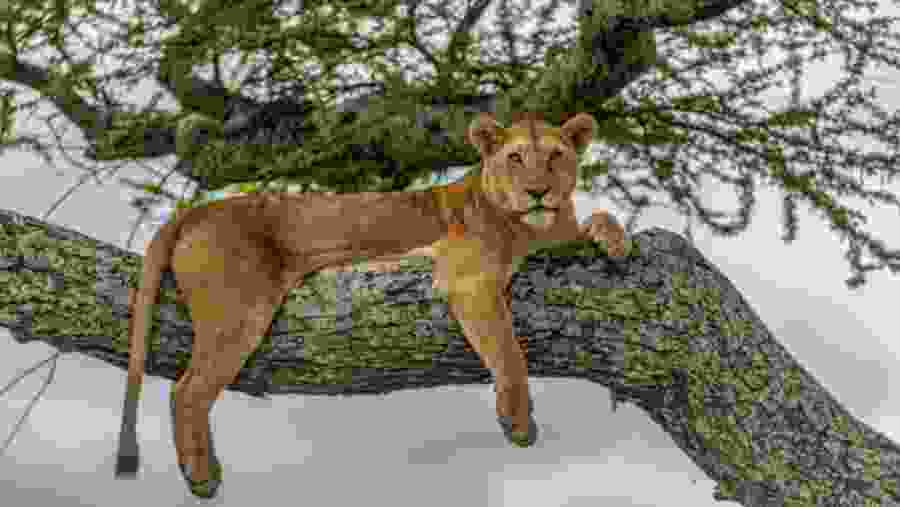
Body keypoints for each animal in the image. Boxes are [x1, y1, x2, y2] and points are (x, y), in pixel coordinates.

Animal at [114, 111, 627, 498]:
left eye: (556, 156)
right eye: (515, 158)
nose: (538, 191)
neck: (537, 229)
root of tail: (199, 210)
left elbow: (601, 216)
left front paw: (614, 240)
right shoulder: (467, 279)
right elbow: (508, 352)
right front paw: (518, 422)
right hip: (240, 311)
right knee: (187, 390)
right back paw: (202, 477)